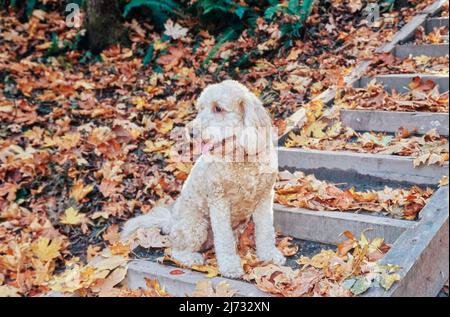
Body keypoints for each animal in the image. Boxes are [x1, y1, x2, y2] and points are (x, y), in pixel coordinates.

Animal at [120, 79, 284, 276]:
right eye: (200, 108)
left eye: (218, 108)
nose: (190, 132)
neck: (241, 160)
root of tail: (171, 222)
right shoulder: (219, 202)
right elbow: (224, 240)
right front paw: (230, 265)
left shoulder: (264, 198)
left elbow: (266, 231)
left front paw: (269, 255)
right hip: (196, 226)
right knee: (176, 250)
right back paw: (192, 258)